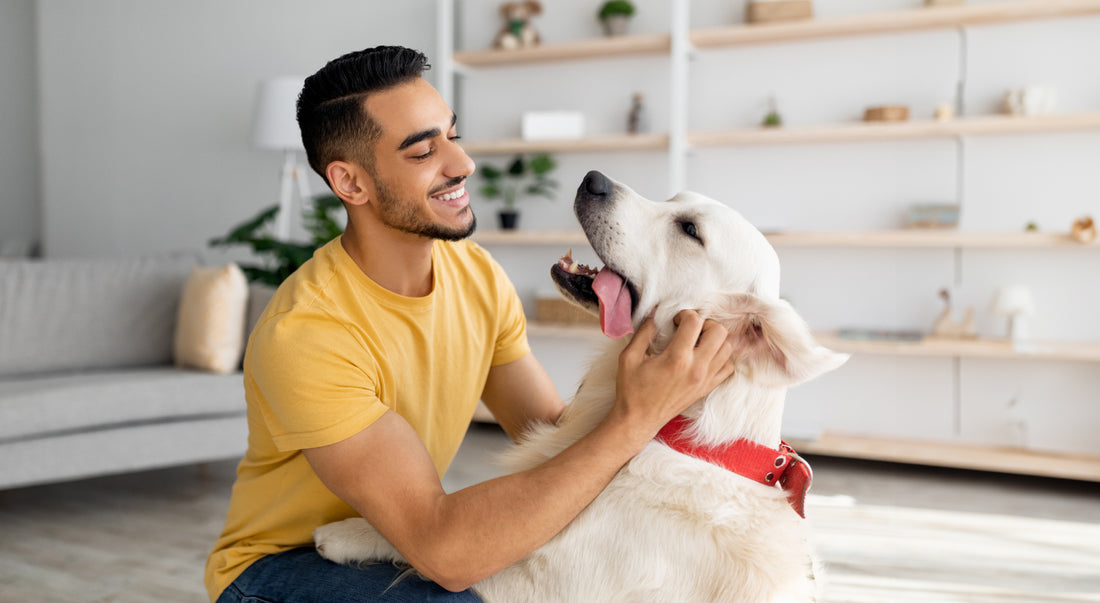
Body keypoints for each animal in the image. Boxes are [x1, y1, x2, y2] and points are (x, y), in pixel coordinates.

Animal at [314, 169, 844, 603]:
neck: (686, 435)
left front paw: (345, 533)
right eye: (673, 200)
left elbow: (433, 550)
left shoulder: (539, 582)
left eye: (690, 230)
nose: (592, 179)